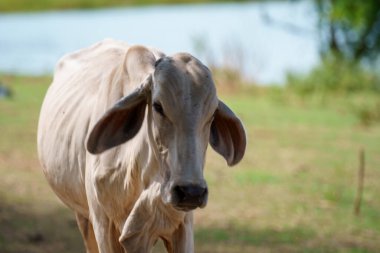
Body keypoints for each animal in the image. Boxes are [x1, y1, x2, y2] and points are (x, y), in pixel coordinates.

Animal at [37, 38, 246, 252]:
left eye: (212, 113)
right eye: (158, 106)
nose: (191, 192)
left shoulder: (183, 224)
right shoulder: (103, 224)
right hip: (83, 216)